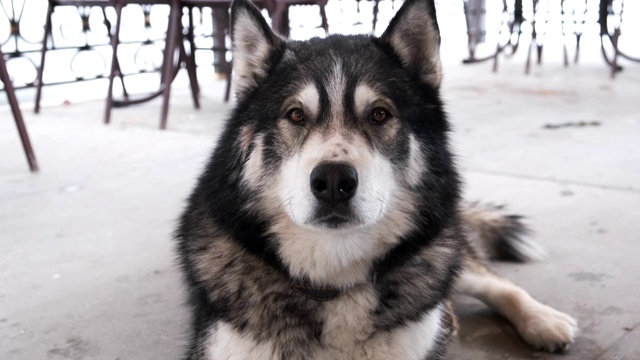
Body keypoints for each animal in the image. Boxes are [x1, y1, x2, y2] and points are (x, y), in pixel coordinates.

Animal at [176, 0, 580, 358]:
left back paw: (543, 321)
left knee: (492, 281)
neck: (333, 280)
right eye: (295, 115)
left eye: (380, 114)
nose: (333, 181)